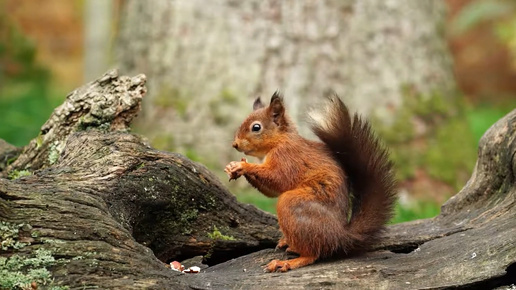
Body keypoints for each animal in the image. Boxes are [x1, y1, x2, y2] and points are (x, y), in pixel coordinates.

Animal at [224, 92, 398, 272]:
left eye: (256, 127)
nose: (235, 144)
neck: (280, 141)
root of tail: (340, 236)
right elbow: (271, 191)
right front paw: (233, 167)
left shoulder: (288, 158)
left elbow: (278, 179)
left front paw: (244, 166)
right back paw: (288, 243)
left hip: (293, 204)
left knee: (313, 254)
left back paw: (288, 262)